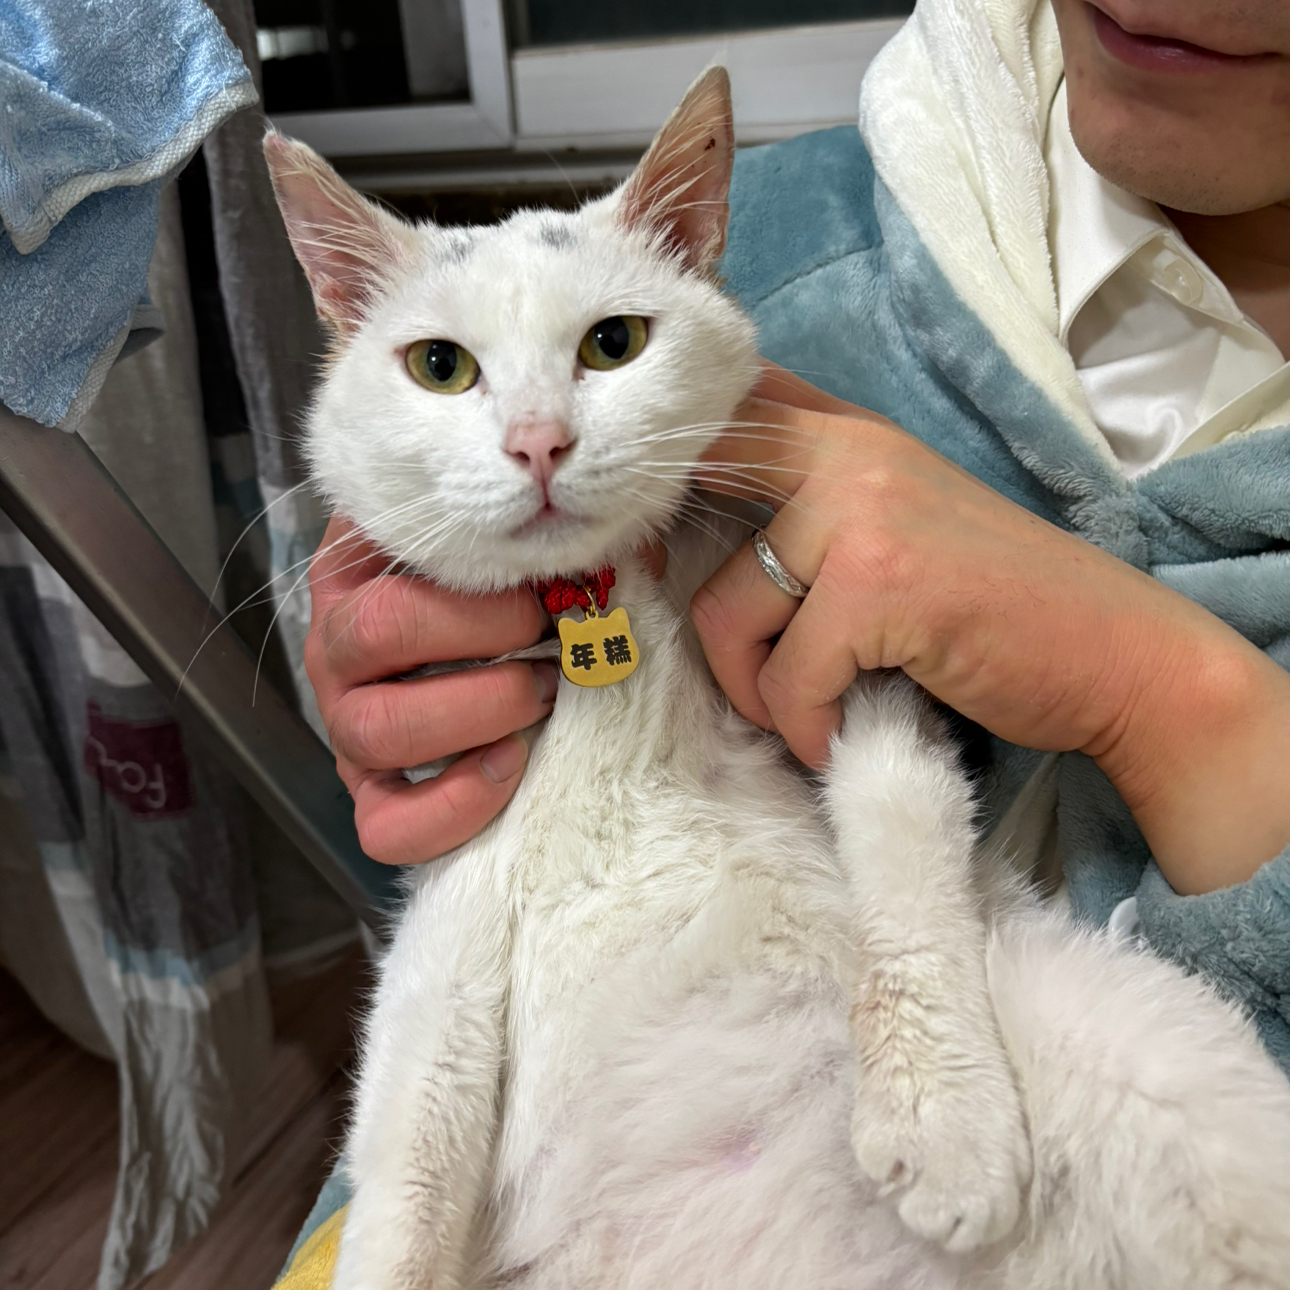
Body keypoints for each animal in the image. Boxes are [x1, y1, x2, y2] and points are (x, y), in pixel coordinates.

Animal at [266, 68, 1290, 1290]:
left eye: (613, 342)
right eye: (439, 366)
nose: (538, 441)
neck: (596, 629)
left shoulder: (848, 655)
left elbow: (901, 827)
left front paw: (944, 1119)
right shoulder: (454, 899)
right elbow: (411, 1149)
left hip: (1134, 1038)